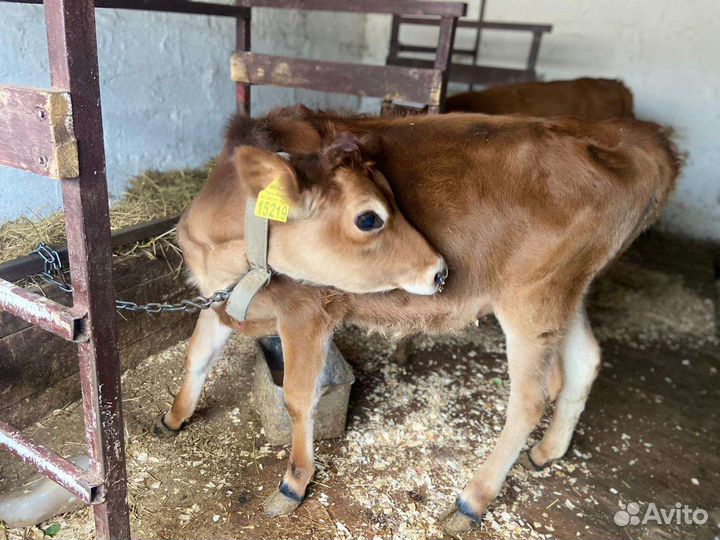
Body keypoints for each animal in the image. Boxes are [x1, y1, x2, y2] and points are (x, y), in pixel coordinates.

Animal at [156, 106, 681, 534]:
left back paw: (472, 501)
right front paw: (173, 418)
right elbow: (197, 356)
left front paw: (293, 483)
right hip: (568, 292)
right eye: (370, 218)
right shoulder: (218, 298)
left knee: (530, 400)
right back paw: (548, 450)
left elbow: (299, 399)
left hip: (532, 298)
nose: (440, 270)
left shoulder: (308, 310)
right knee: (586, 362)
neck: (226, 243)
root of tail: (631, 138)